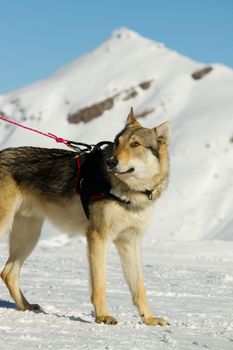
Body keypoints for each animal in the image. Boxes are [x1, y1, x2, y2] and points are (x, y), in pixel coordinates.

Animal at [0, 108, 171, 326]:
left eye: (135, 144)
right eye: (117, 142)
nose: (111, 161)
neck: (129, 192)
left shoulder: (130, 241)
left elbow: (139, 288)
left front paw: (149, 319)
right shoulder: (98, 237)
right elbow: (99, 285)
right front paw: (102, 316)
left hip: (29, 236)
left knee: (8, 273)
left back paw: (27, 306)